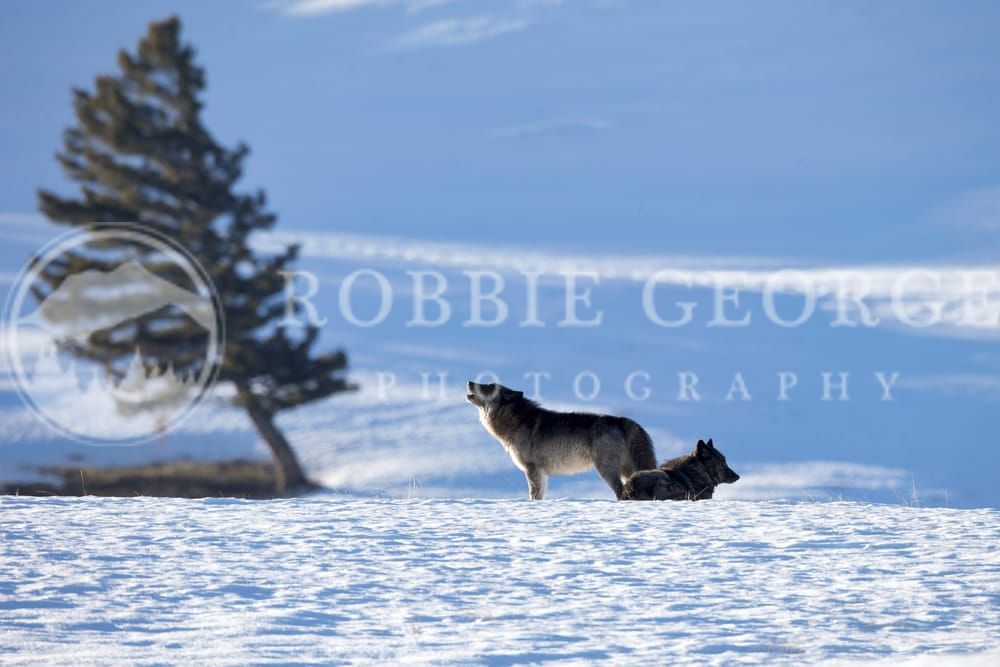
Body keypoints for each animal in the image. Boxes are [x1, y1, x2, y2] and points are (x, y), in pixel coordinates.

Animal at [466, 381, 657, 500]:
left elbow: (533, 495)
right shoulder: (541, 473)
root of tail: (625, 421)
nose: (469, 382)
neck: (515, 422)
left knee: (620, 492)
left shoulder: (532, 469)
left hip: (606, 470)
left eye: (489, 386)